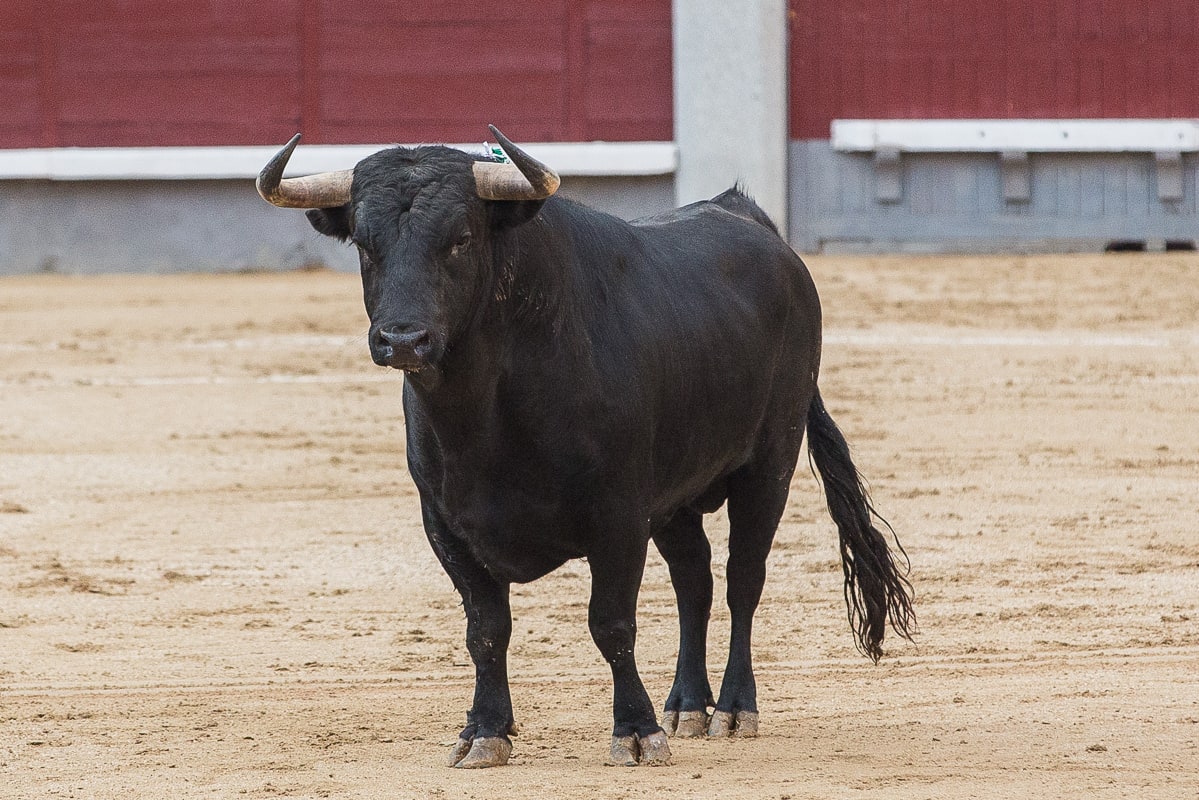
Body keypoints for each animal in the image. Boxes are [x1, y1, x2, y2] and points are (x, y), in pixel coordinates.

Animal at [256, 126, 914, 768]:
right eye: (366, 246)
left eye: (461, 239)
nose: (402, 340)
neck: (484, 418)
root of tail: (752, 220)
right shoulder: (445, 522)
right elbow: (486, 629)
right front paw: (484, 731)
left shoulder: (617, 515)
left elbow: (612, 623)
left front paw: (637, 731)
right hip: (674, 496)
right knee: (693, 580)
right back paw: (687, 704)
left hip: (769, 462)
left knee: (741, 579)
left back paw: (732, 708)